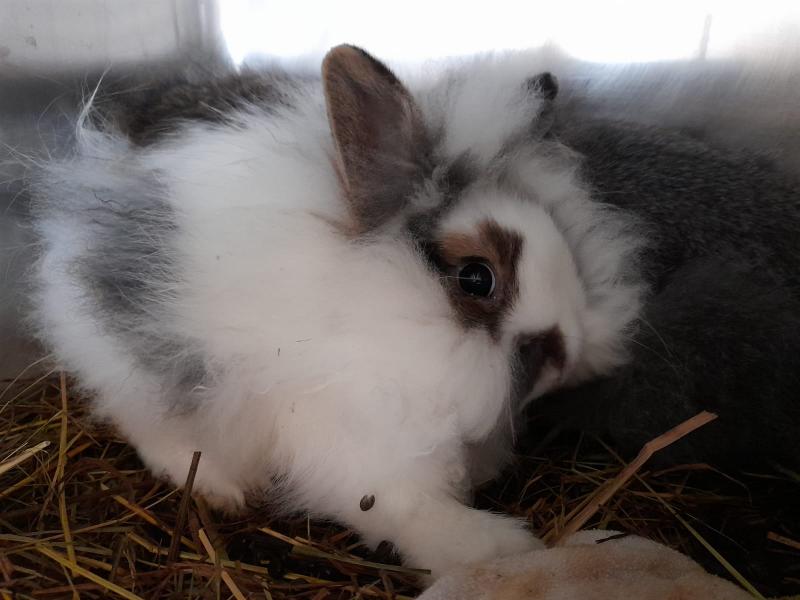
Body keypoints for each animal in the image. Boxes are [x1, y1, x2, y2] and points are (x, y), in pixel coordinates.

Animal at [27, 45, 644, 577]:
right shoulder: (364, 455)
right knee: (152, 428)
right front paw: (500, 547)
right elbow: (412, 512)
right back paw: (221, 486)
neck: (381, 313)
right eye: (476, 277)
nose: (567, 349)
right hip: (131, 366)